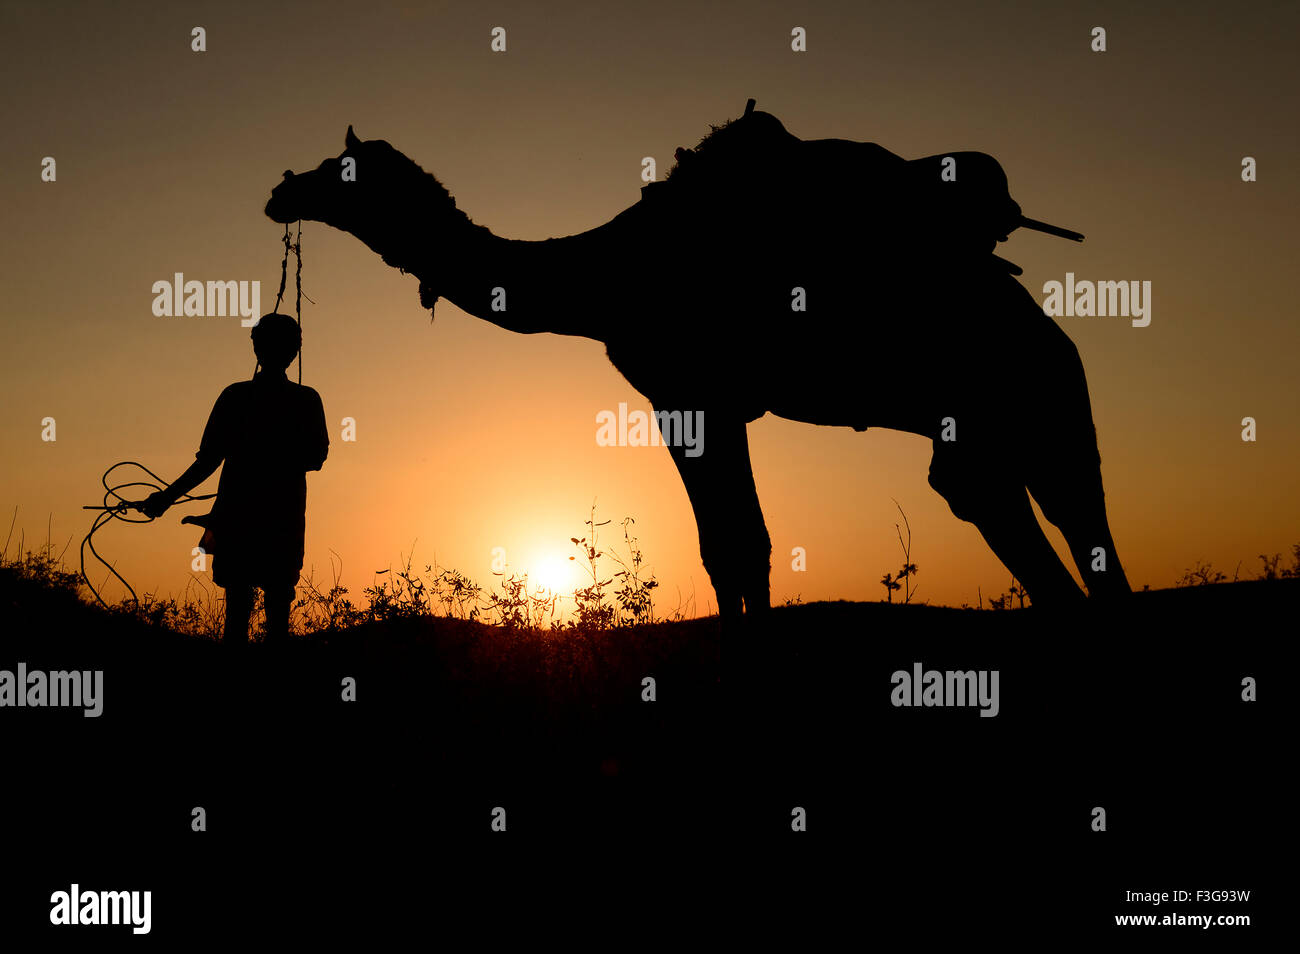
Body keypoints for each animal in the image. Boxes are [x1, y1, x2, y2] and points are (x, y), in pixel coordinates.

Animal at [269, 108, 1133, 616]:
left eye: (341, 169)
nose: (282, 188)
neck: (608, 275)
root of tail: (1049, 326)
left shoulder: (688, 394)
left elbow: (737, 545)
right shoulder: (706, 402)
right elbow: (736, 546)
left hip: (1037, 388)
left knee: (1070, 505)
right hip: (982, 419)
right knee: (994, 497)